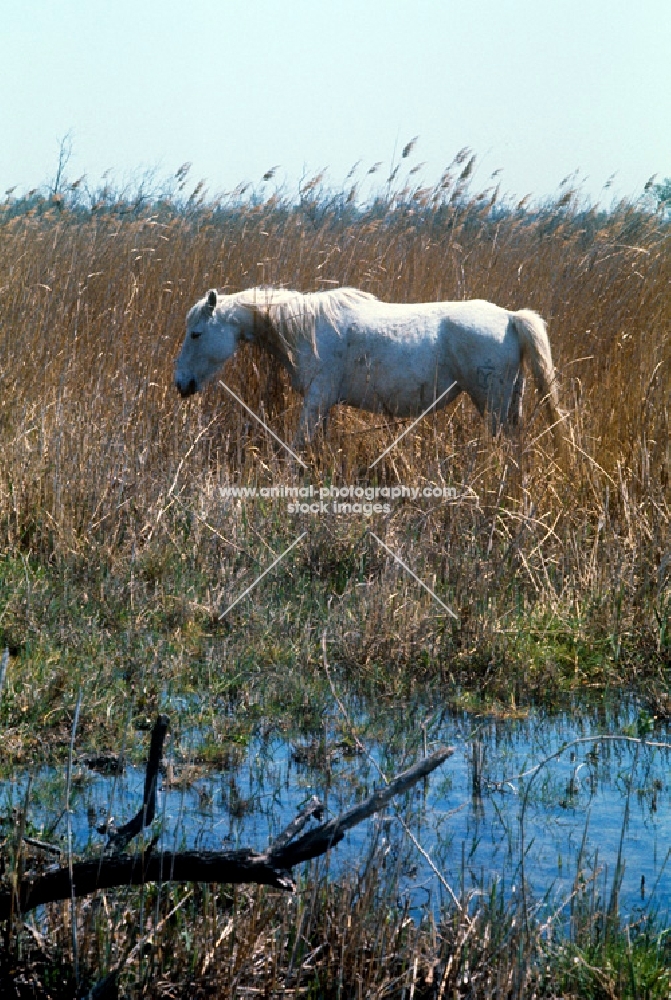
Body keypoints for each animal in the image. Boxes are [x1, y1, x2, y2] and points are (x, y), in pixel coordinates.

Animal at [175, 288, 560, 448]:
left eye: (196, 333)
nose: (181, 383)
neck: (303, 328)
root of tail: (510, 318)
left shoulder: (316, 400)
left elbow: (299, 446)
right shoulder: (324, 406)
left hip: (491, 404)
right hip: (509, 402)